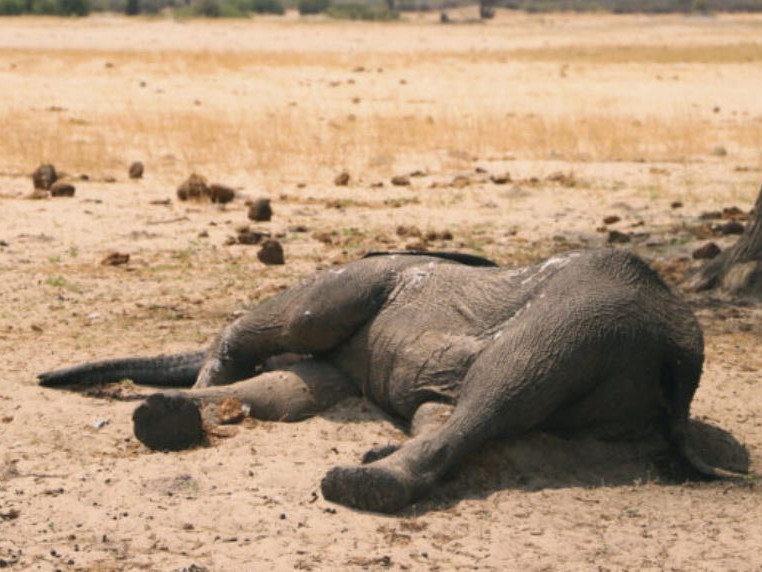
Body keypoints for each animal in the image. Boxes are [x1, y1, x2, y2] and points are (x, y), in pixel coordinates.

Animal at [37, 250, 744, 512]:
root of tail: (681, 354)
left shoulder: (364, 277)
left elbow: (296, 324)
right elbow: (292, 387)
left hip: (588, 317)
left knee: (502, 384)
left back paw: (361, 486)